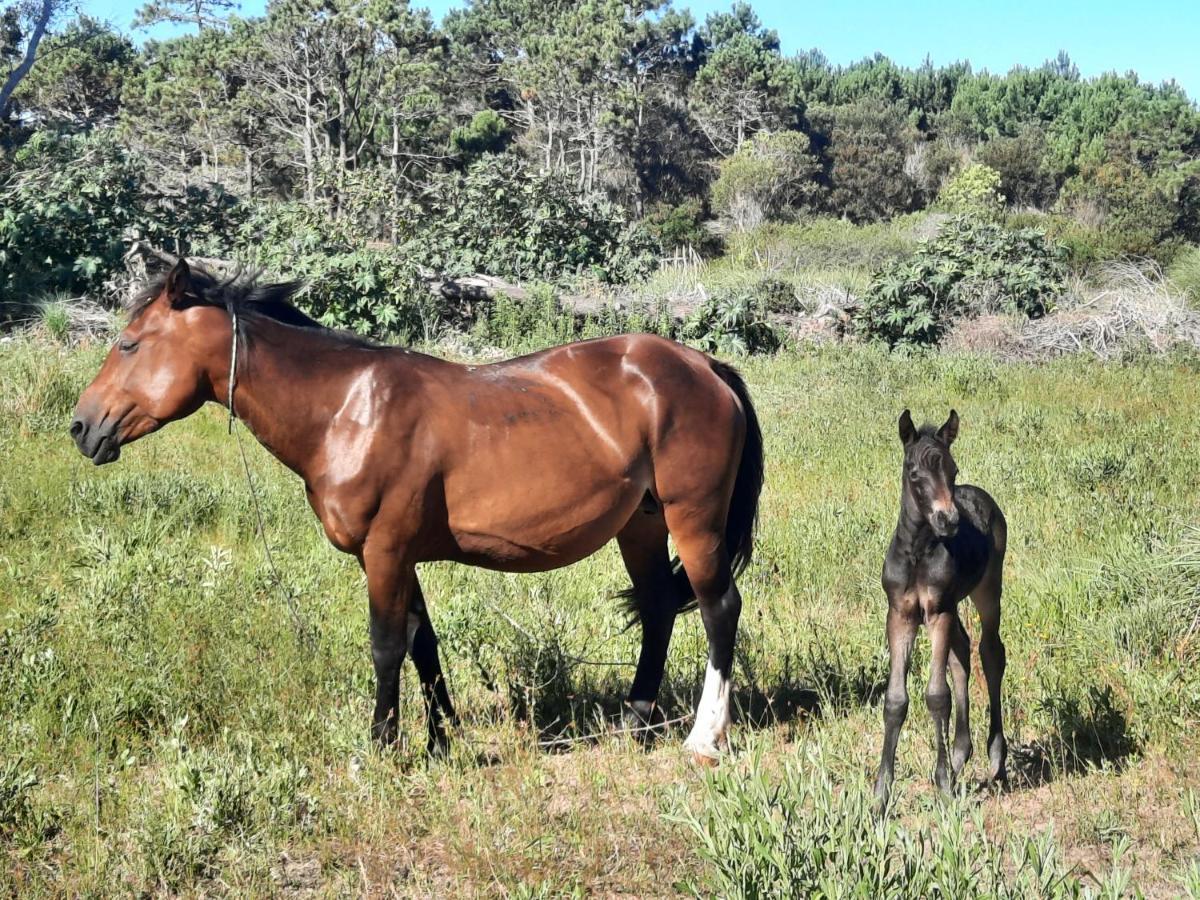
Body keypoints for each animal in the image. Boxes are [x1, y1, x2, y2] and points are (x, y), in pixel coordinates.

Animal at [68, 260, 758, 763]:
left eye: (128, 344)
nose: (81, 426)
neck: (347, 409)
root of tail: (702, 364)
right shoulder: (399, 556)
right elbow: (423, 644)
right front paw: (442, 739)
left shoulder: (384, 551)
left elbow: (386, 645)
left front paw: (382, 746)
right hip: (640, 525)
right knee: (660, 609)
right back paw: (634, 725)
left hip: (692, 519)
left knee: (719, 609)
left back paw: (705, 739)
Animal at [878, 412, 1008, 816]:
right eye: (913, 471)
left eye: (952, 469)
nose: (948, 520)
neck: (918, 553)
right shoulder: (900, 615)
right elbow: (896, 700)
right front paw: (880, 796)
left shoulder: (938, 611)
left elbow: (937, 696)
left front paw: (944, 789)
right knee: (962, 653)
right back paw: (959, 755)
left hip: (987, 590)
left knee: (990, 653)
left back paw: (996, 760)